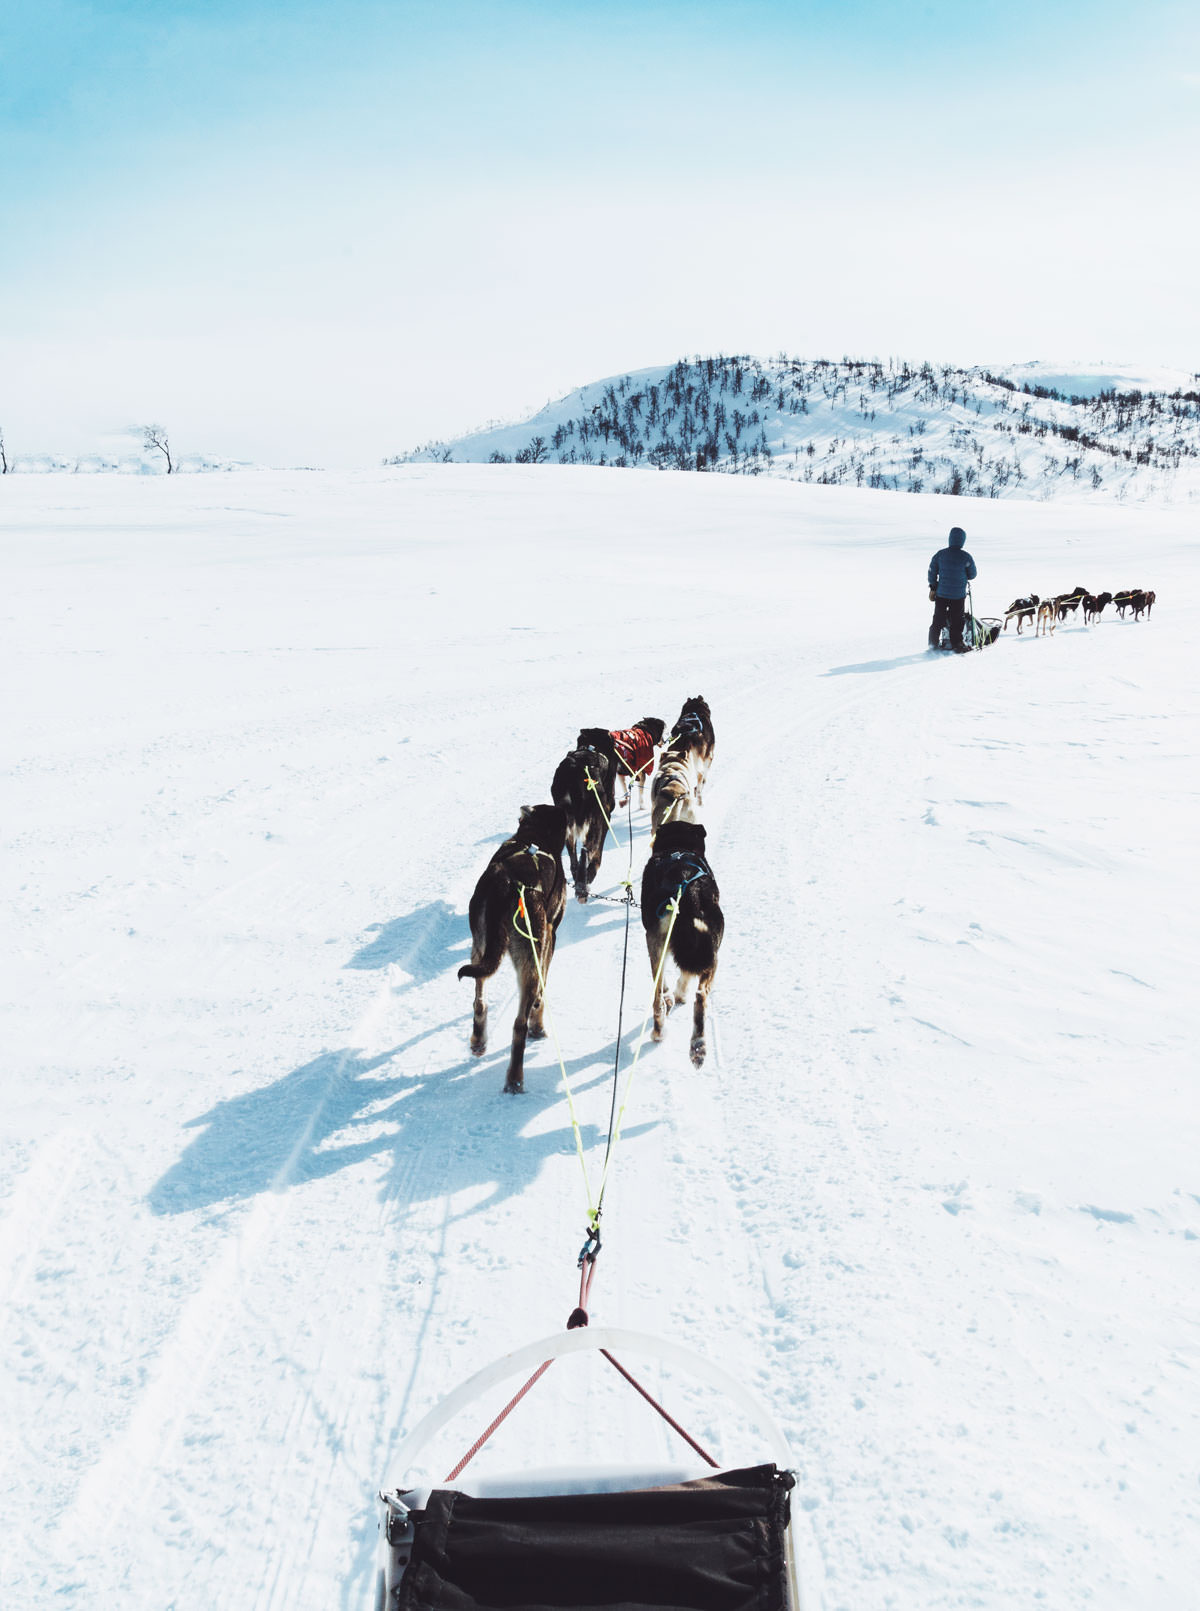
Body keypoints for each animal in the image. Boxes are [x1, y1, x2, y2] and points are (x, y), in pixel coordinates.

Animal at [460, 805, 570, 1095]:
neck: (534, 835)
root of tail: (505, 882)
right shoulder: (550, 938)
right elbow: (541, 995)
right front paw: (538, 1026)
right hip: (530, 955)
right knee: (519, 1024)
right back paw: (515, 1079)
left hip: (481, 946)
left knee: (479, 1000)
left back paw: (478, 1040)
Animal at [637, 818, 721, 1069]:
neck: (677, 847)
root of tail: (688, 895)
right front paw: (679, 994)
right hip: (710, 954)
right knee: (700, 996)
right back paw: (694, 1044)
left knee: (658, 999)